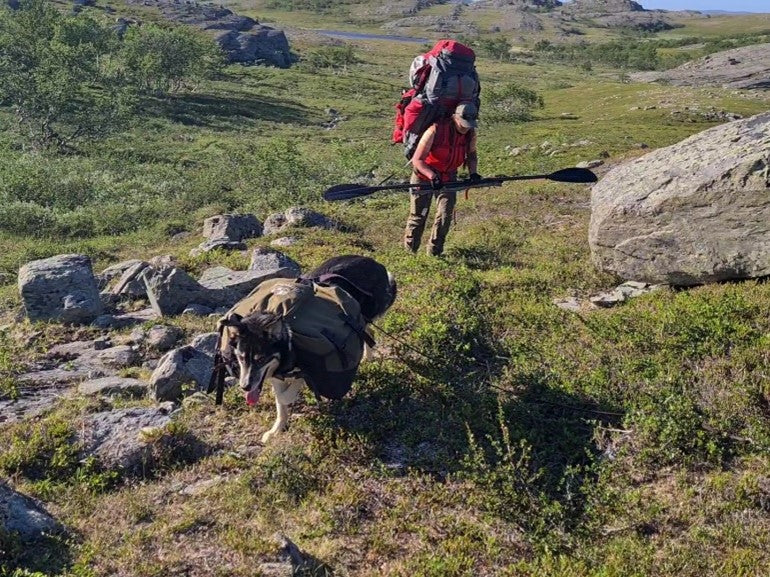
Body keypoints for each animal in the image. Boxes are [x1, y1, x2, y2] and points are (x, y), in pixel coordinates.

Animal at [214, 254, 400, 444]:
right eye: (241, 358)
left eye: (261, 359)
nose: (244, 387)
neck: (289, 343)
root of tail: (375, 263)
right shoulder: (274, 374)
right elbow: (280, 404)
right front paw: (276, 430)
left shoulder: (310, 371)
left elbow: (286, 395)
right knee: (368, 333)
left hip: (365, 315)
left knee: (367, 333)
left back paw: (367, 358)